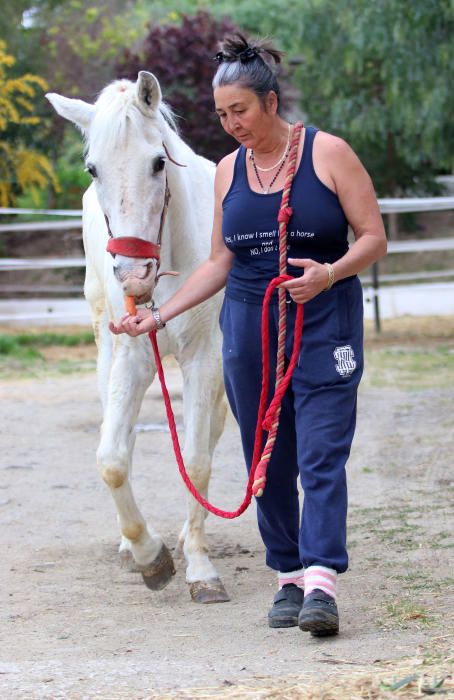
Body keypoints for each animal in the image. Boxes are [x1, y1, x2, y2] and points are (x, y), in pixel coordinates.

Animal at [45, 74, 229, 604]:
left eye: (158, 162)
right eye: (92, 169)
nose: (132, 275)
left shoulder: (205, 358)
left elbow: (197, 458)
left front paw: (199, 566)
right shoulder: (131, 356)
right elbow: (111, 459)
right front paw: (150, 555)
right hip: (107, 354)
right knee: (119, 434)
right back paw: (132, 547)